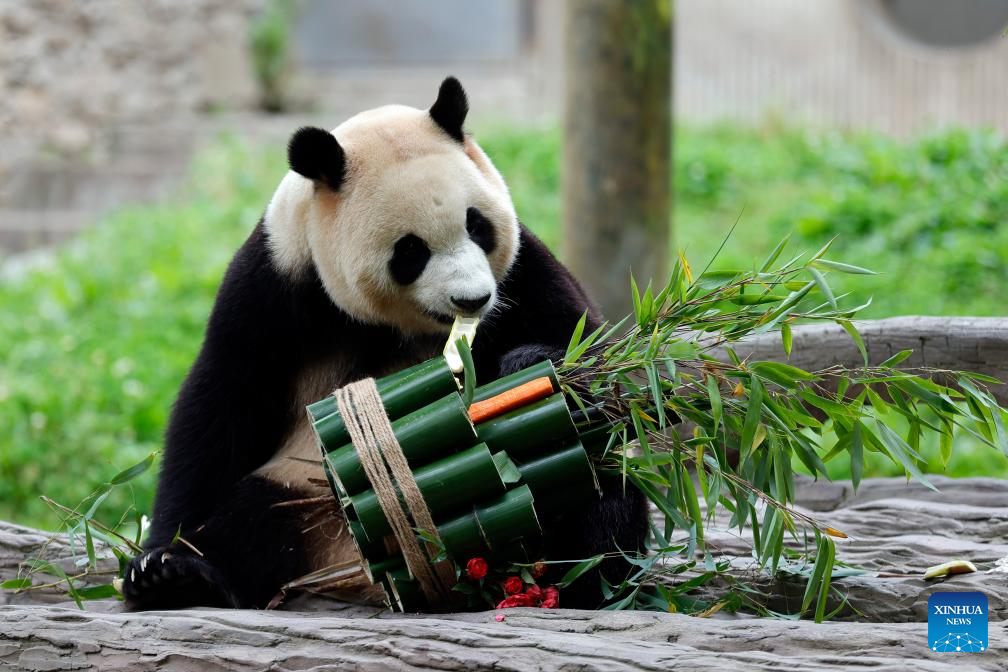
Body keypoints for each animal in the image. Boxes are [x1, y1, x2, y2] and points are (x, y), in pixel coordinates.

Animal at [121, 77, 649, 608]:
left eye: (476, 225)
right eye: (411, 251)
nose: (473, 299)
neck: (404, 325)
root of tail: (358, 575)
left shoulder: (522, 273)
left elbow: (605, 361)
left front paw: (537, 368)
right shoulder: (275, 285)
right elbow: (221, 406)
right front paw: (157, 555)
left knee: (597, 478)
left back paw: (590, 577)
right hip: (297, 491)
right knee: (251, 522)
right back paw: (177, 578)